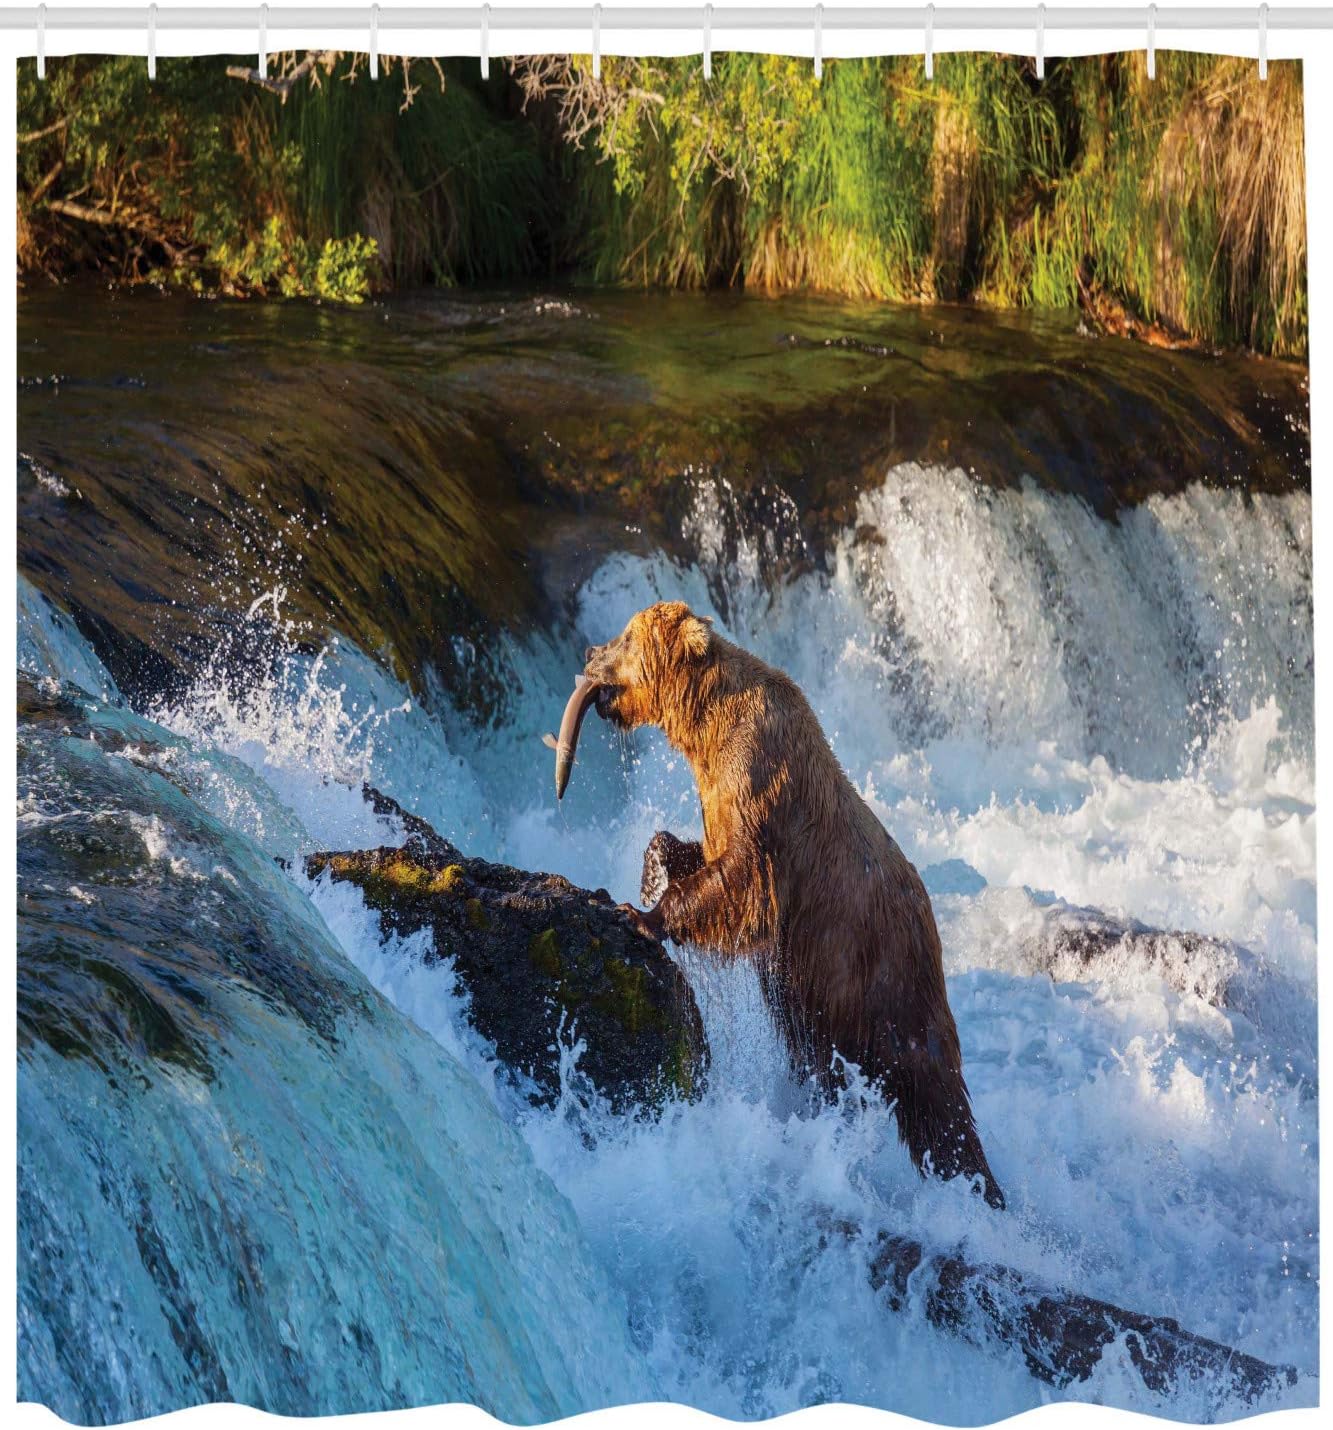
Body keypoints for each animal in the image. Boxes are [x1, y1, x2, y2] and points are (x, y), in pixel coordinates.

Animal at [582, 599, 1004, 1209]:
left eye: (626, 638)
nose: (590, 653)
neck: (706, 729)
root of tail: (934, 927)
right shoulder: (718, 800)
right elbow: (698, 853)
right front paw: (652, 872)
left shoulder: (762, 790)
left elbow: (742, 885)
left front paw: (642, 915)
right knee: (826, 1067)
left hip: (881, 975)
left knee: (934, 1095)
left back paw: (978, 1189)